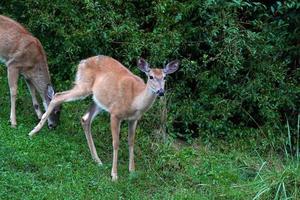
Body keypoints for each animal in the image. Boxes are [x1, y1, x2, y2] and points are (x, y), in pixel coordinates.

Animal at [28, 55, 179, 180]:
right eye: (151, 76)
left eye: (165, 77)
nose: (161, 91)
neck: (135, 101)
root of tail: (82, 62)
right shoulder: (115, 113)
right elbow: (116, 143)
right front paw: (114, 175)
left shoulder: (134, 119)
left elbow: (131, 142)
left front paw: (132, 170)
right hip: (84, 86)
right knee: (58, 96)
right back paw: (34, 131)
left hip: (98, 100)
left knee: (85, 119)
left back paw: (97, 160)